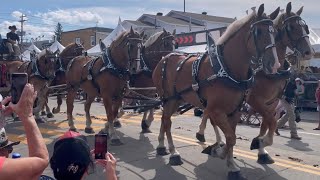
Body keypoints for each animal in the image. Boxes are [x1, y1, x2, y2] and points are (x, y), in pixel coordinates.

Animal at [152, 4, 280, 179]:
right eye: (258, 32)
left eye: (275, 32)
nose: (274, 65)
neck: (226, 69)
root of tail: (163, 59)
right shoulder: (216, 111)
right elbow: (231, 138)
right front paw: (218, 151)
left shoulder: (235, 112)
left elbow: (232, 137)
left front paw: (232, 165)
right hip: (168, 98)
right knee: (167, 122)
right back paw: (173, 153)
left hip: (175, 99)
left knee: (165, 120)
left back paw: (161, 146)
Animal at [195, 2, 312, 166]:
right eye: (292, 27)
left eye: (305, 27)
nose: (309, 52)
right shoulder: (255, 100)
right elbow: (270, 121)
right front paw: (260, 142)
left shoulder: (272, 102)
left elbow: (267, 123)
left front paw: (262, 149)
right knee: (210, 116)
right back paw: (206, 136)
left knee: (209, 114)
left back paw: (215, 140)